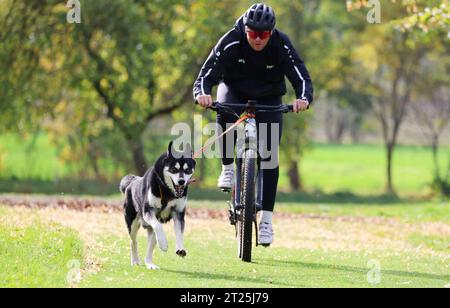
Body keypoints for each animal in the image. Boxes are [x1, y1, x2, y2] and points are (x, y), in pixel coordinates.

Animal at [119, 142, 195, 270]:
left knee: (151, 245)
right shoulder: (148, 211)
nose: (181, 181)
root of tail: (132, 182)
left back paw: (150, 264)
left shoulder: (178, 214)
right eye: (174, 169)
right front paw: (164, 245)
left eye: (188, 170)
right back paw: (135, 260)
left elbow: (179, 232)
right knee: (133, 241)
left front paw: (180, 248)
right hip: (132, 223)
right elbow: (158, 226)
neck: (167, 191)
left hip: (151, 231)